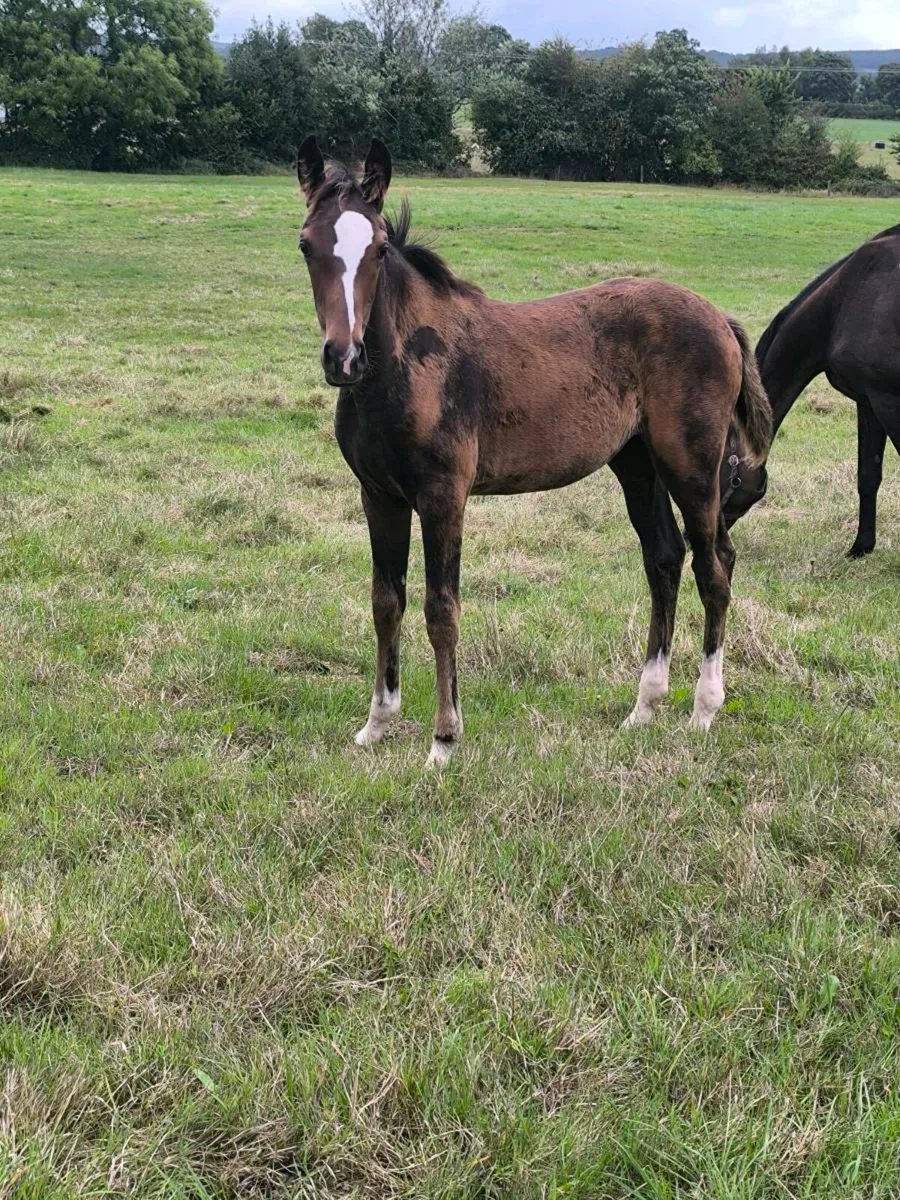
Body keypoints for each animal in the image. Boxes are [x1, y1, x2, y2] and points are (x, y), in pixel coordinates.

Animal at [295, 136, 772, 767]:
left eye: (376, 249)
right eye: (307, 245)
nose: (343, 357)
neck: (402, 368)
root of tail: (719, 317)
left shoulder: (443, 496)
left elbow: (441, 609)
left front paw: (443, 740)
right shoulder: (379, 496)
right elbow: (385, 601)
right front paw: (376, 723)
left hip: (691, 464)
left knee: (714, 565)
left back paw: (703, 711)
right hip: (637, 463)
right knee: (664, 560)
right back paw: (642, 709)